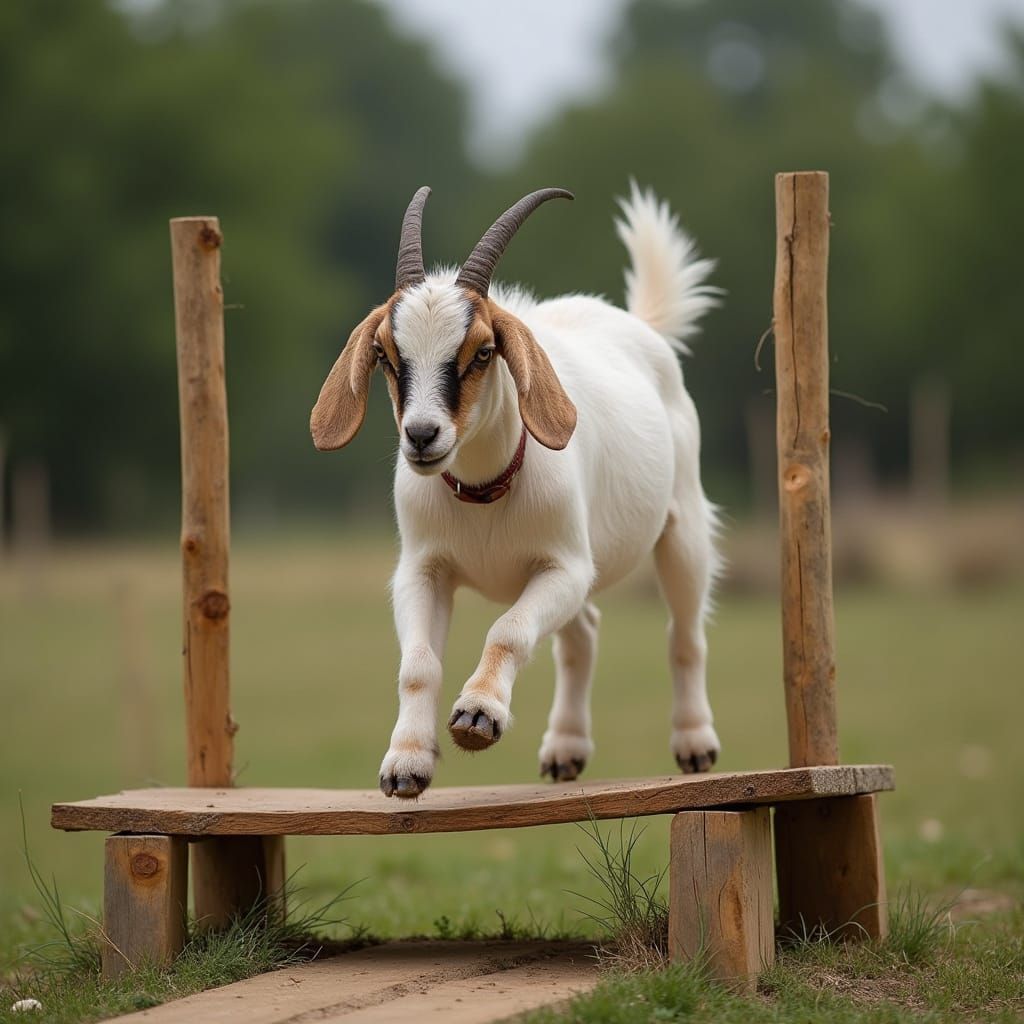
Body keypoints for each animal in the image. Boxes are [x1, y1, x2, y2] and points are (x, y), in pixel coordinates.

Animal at [311, 183, 721, 799]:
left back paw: (695, 744)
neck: (484, 491)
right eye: (385, 353)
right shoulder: (422, 569)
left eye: (482, 352)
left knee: (685, 633)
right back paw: (565, 751)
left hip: (682, 527)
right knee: (582, 637)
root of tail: (636, 323)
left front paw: (478, 716)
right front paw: (406, 763)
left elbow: (507, 631)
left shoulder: (564, 567)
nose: (422, 437)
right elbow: (418, 664)